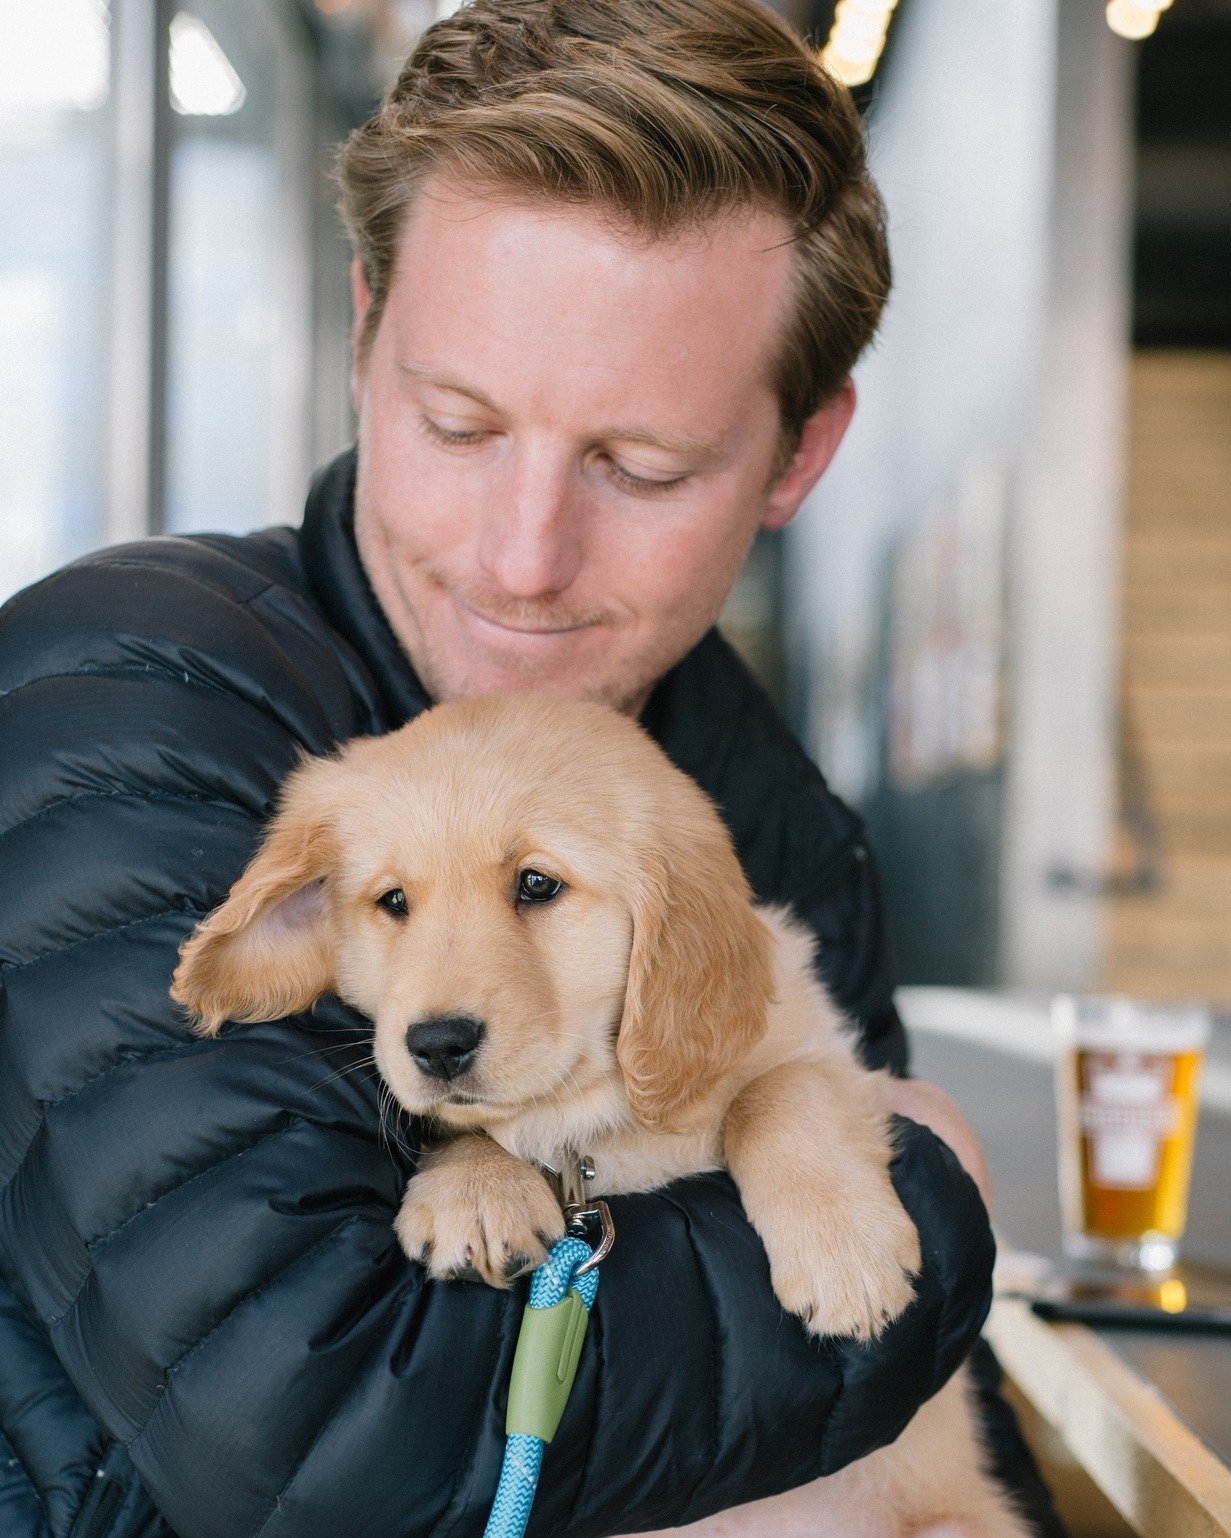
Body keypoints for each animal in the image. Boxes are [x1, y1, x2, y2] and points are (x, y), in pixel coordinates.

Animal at [170, 698, 1027, 1538]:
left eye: (536, 885)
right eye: (393, 903)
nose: (436, 1044)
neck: (595, 1116)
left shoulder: (846, 1065)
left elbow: (776, 1094)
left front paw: (844, 1257)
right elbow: (464, 1126)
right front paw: (473, 1194)